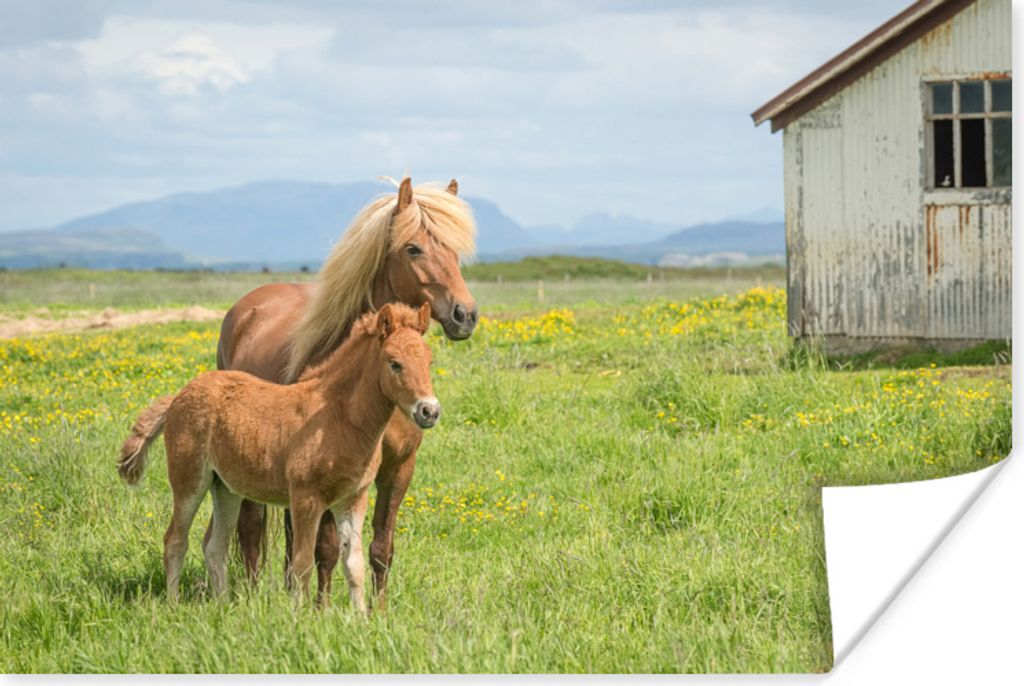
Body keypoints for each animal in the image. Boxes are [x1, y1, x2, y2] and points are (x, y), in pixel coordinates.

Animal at [117, 303, 438, 608]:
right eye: (394, 363)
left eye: (429, 361)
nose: (429, 411)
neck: (337, 416)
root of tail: (178, 396)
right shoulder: (305, 498)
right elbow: (302, 563)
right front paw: (301, 617)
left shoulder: (353, 498)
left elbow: (353, 564)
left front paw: (359, 618)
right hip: (189, 481)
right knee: (175, 540)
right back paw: (173, 605)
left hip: (226, 488)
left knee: (215, 545)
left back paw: (222, 606)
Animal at [214, 176, 477, 606]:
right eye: (413, 247)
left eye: (454, 250)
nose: (465, 315)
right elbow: (326, 549)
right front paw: (321, 609)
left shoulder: (398, 470)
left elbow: (381, 548)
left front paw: (381, 609)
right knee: (251, 529)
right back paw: (253, 596)